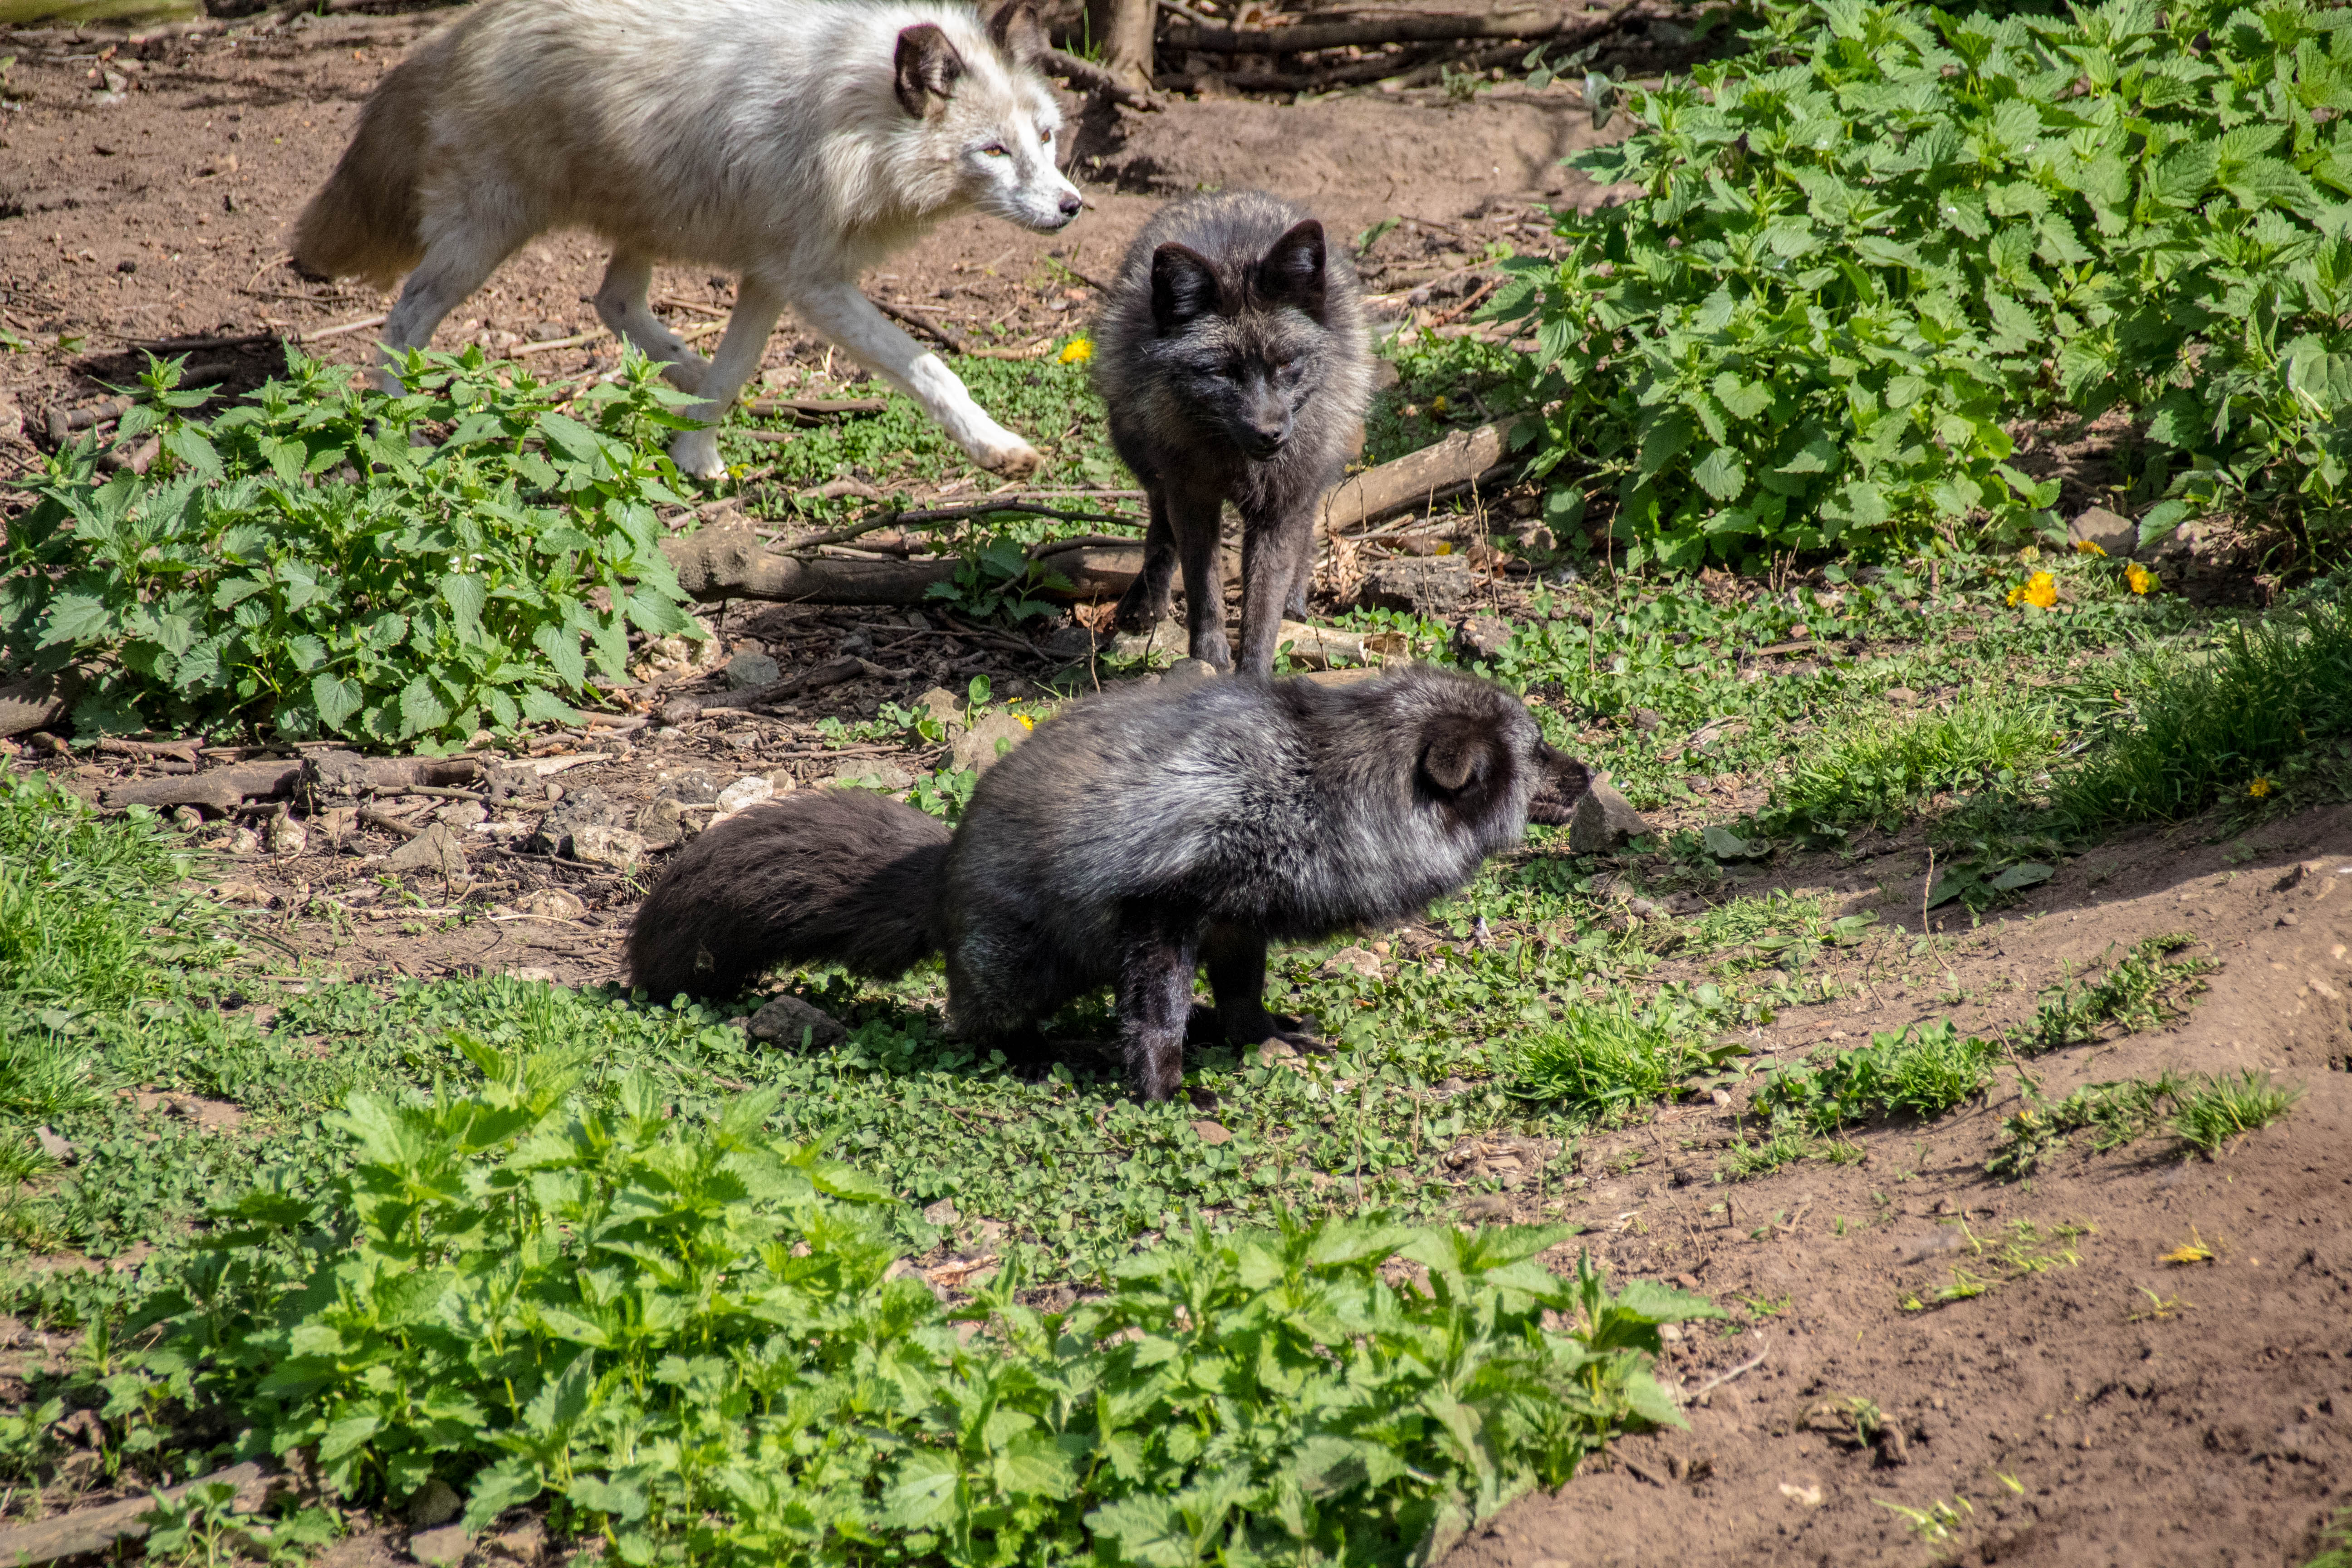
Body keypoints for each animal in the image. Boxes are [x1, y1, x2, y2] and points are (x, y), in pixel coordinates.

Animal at [287, 0, 1082, 484]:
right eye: (994, 152)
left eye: (1046, 139)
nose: (1073, 206)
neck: (852, 126)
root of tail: (449, 35)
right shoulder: (812, 283)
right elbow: (932, 370)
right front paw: (1000, 449)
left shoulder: (772, 277)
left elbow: (735, 371)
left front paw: (695, 453)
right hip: (484, 242)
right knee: (406, 316)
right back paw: (394, 422)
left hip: (643, 226)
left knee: (612, 303)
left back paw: (683, 379)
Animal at [625, 667, 1590, 1100]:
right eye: (1537, 753)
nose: (1589, 775)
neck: (1321, 782)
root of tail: (941, 873)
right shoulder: (1160, 910)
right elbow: (1155, 1016)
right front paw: (1165, 1088)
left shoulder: (1237, 919)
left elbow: (1241, 992)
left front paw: (1256, 1034)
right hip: (1019, 968)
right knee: (977, 1028)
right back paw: (1045, 1054)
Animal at [1087, 188, 1373, 677]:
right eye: (1222, 372)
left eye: (1286, 363)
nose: (1269, 434)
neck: (1238, 463)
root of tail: (1227, 194)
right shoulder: (1192, 496)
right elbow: (1204, 590)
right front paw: (1208, 658)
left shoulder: (1280, 505)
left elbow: (1263, 610)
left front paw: (1253, 677)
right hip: (1138, 450)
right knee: (1159, 523)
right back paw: (1147, 599)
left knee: (1307, 528)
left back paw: (1296, 598)